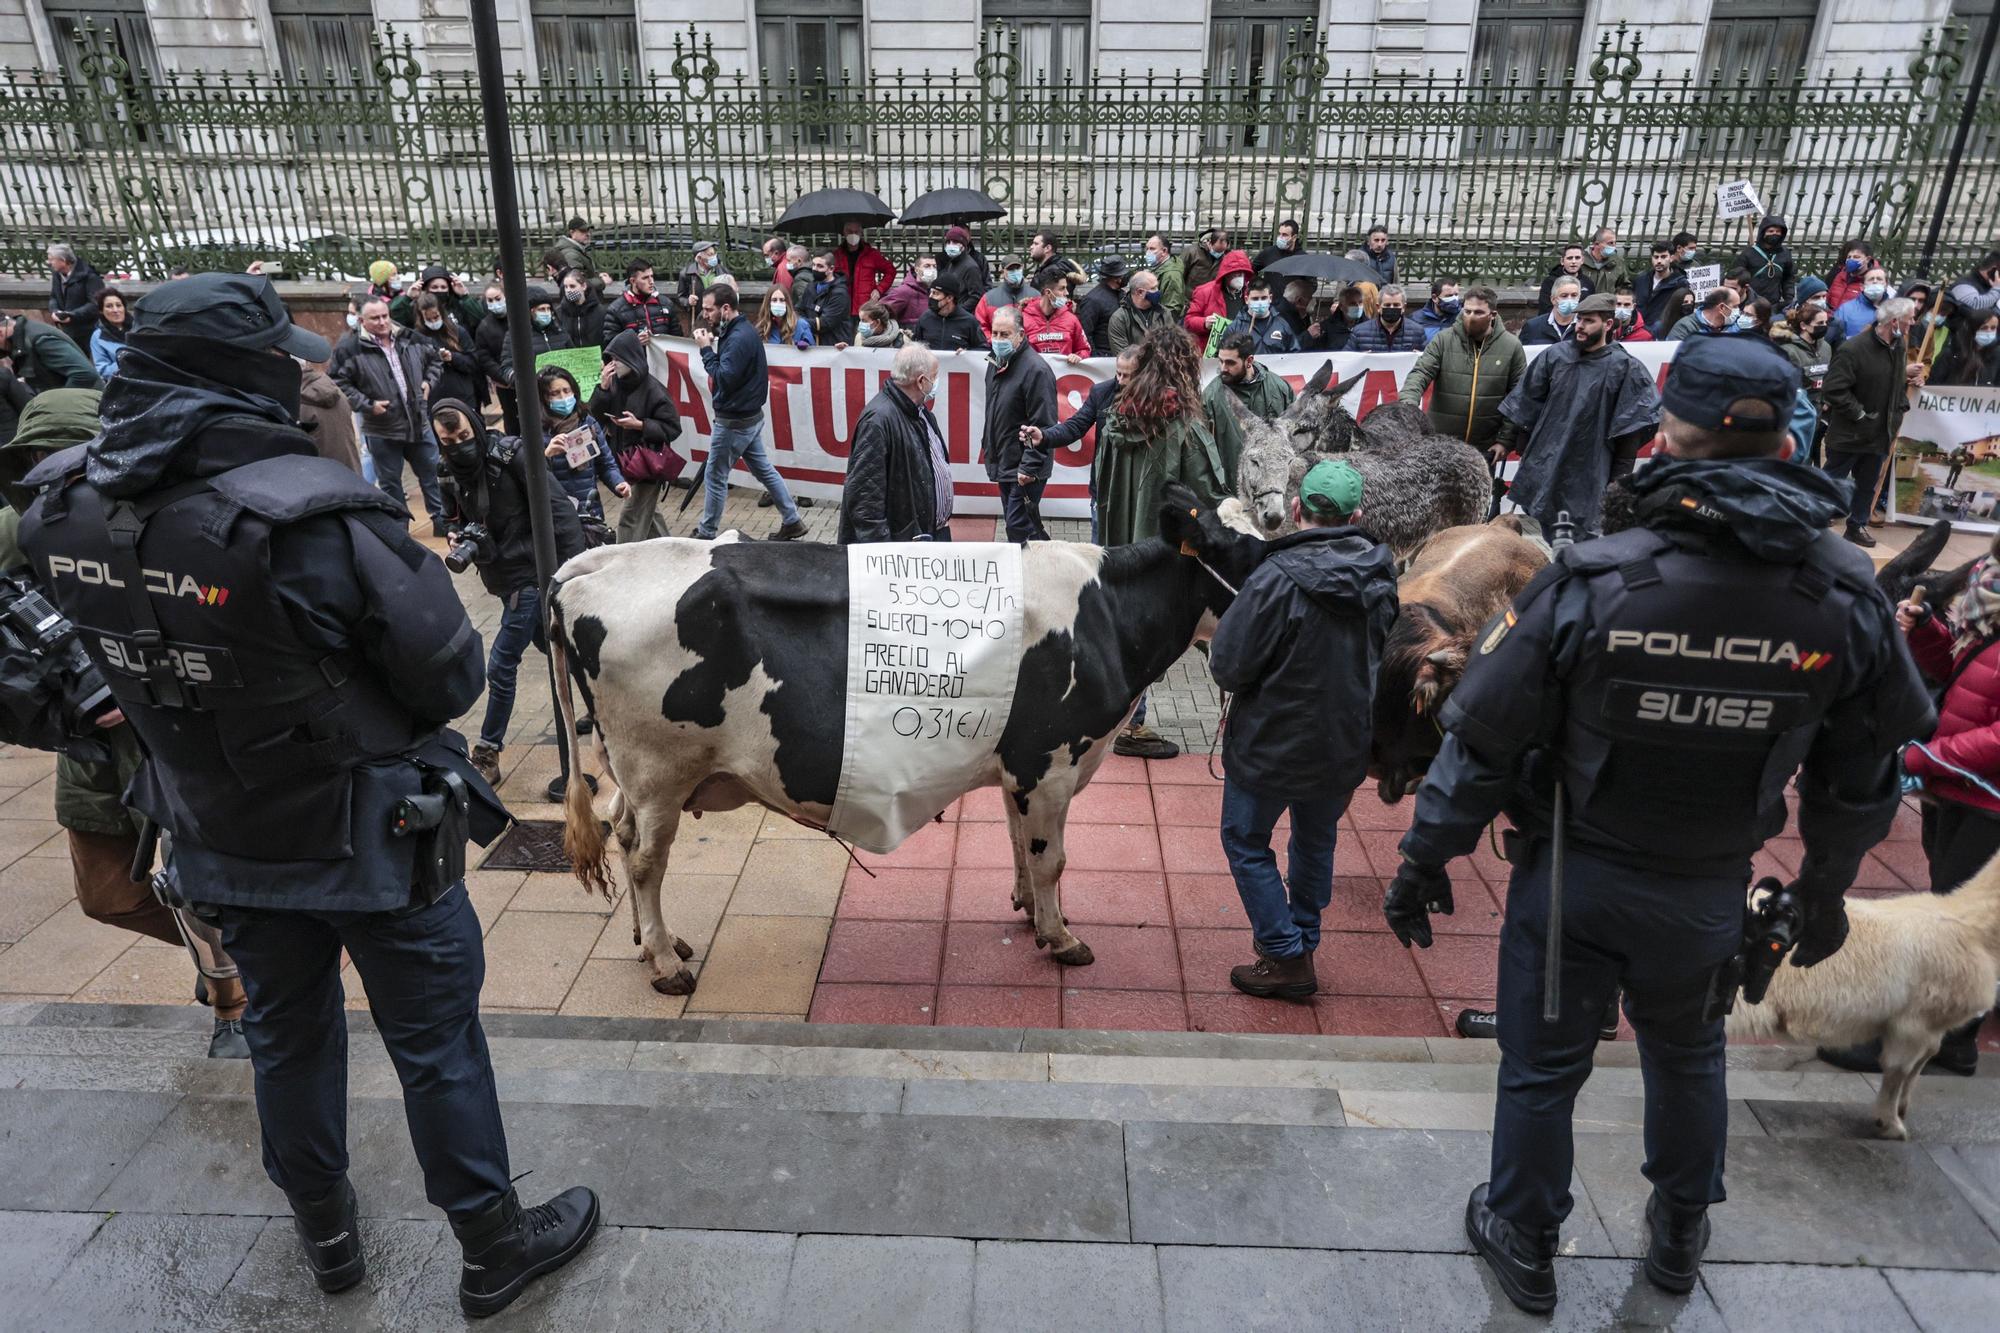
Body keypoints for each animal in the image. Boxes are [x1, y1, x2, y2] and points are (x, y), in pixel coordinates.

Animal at [556, 482, 1256, 992]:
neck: (1106, 613)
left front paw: (1030, 912)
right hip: (660, 770)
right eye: (1248, 556)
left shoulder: (1020, 764)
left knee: (622, 835)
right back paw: (667, 966)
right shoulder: (1052, 761)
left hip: (634, 774)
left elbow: (1018, 841)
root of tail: (593, 566)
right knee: (645, 859)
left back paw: (653, 943)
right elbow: (1051, 857)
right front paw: (1061, 938)